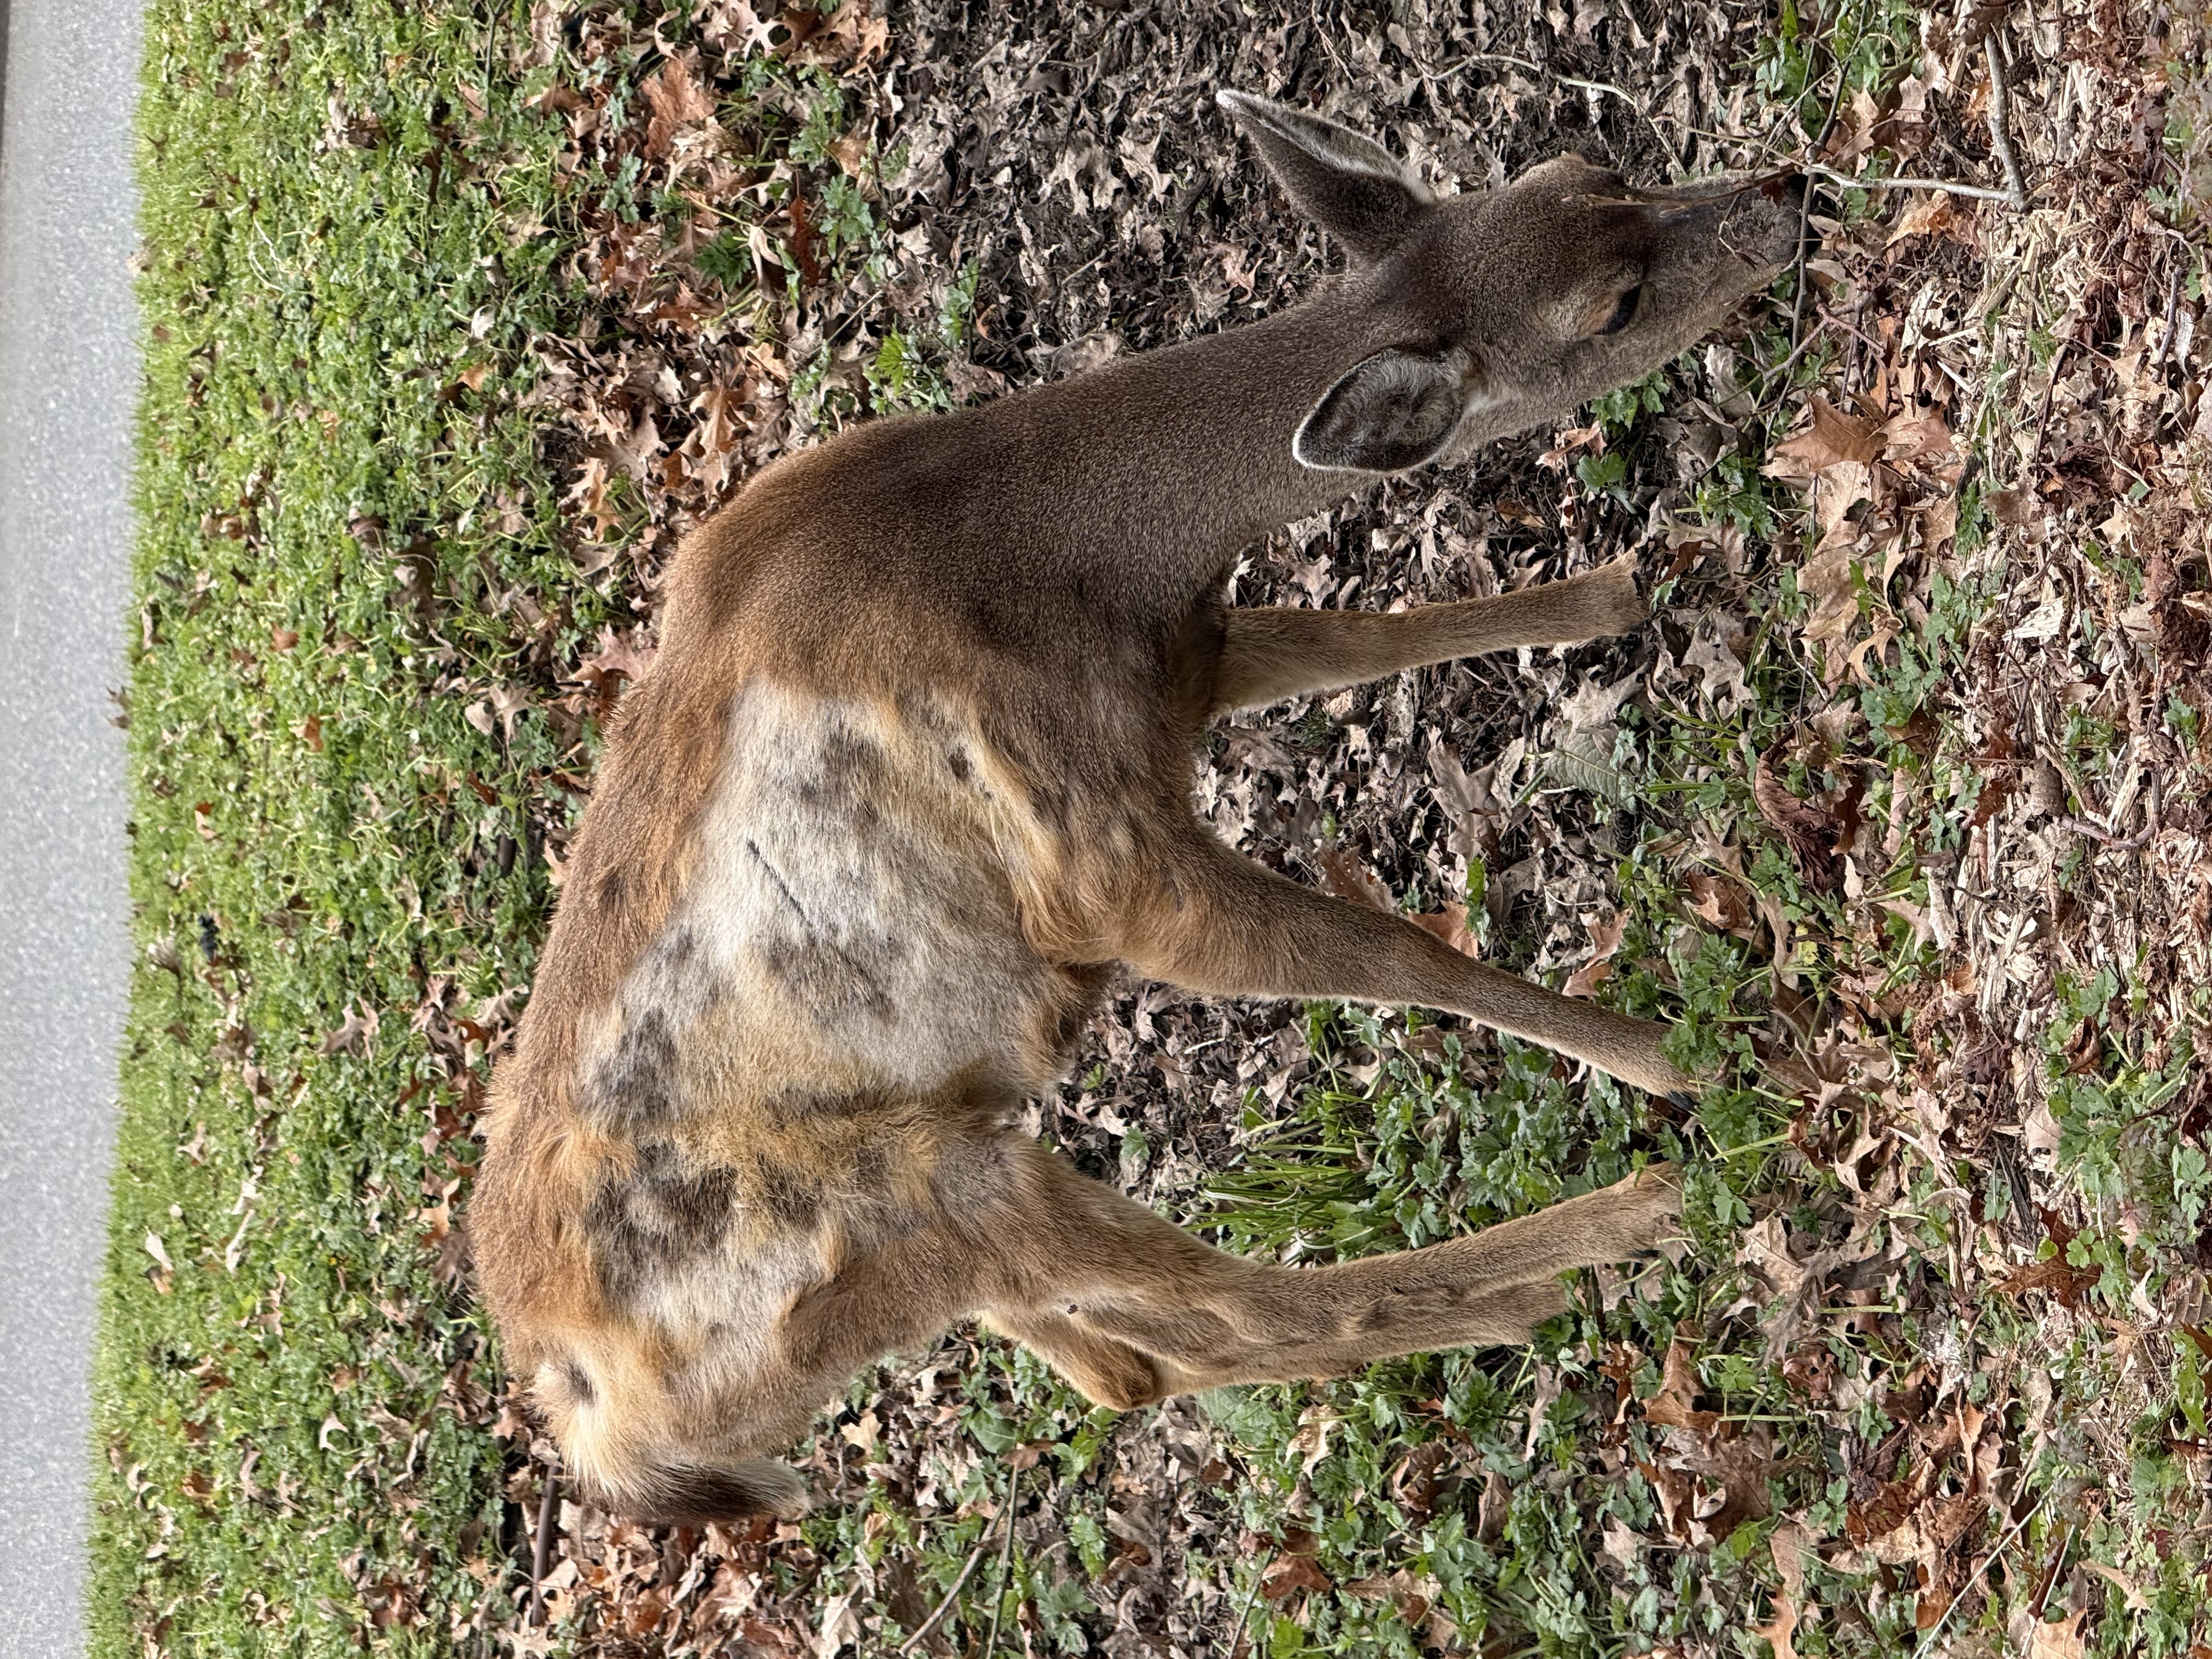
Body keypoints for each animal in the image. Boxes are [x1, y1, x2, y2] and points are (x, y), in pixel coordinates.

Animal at [471, 90, 1811, 1524]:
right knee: (1247, 1314)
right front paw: (1669, 1058)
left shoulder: (1184, 670)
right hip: (919, 1198)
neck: (1077, 553)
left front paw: (1612, 594)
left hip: (935, 1222)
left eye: (1595, 167)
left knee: (1130, 1364)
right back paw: (1613, 1232)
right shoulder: (1107, 867)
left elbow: (1359, 637)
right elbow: (1392, 951)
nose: (1786, 192)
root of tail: (600, 1424)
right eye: (1613, 304)